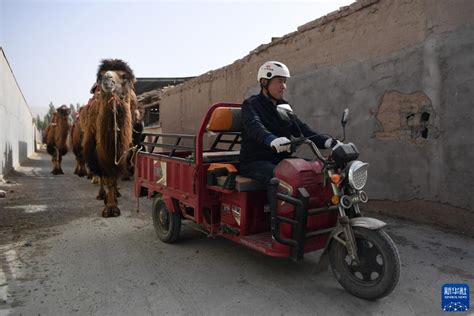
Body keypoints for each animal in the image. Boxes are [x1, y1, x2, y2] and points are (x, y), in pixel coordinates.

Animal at [82, 59, 135, 217]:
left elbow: (114, 176)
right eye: (100, 76)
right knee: (100, 176)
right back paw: (101, 195)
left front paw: (113, 203)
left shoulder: (121, 152)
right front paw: (110, 207)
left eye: (124, 77)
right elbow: (107, 177)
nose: (107, 78)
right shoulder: (100, 152)